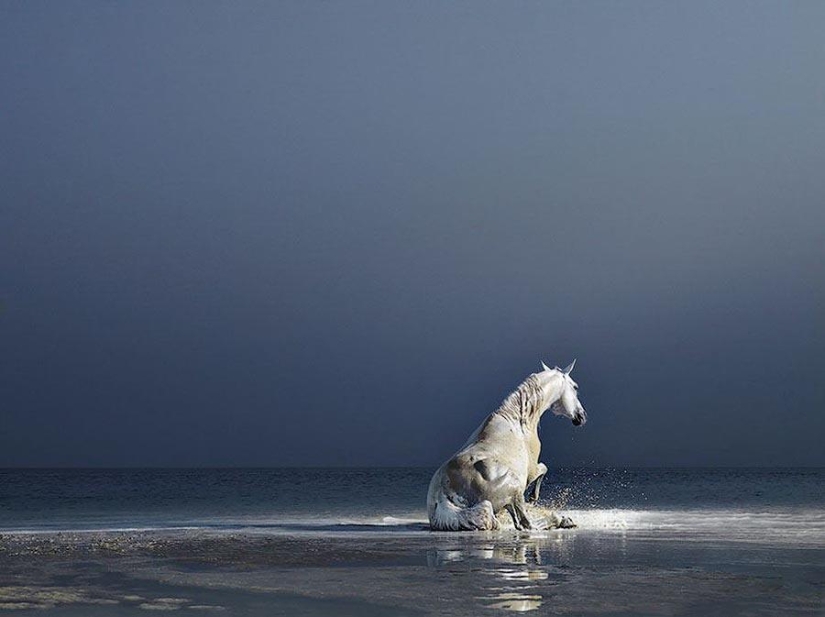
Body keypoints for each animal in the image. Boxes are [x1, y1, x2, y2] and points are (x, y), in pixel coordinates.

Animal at [427, 360, 587, 531]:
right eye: (575, 387)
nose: (581, 416)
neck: (518, 420)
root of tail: (441, 493)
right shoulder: (531, 470)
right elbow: (544, 468)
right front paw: (533, 497)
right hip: (514, 487)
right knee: (527, 523)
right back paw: (561, 519)